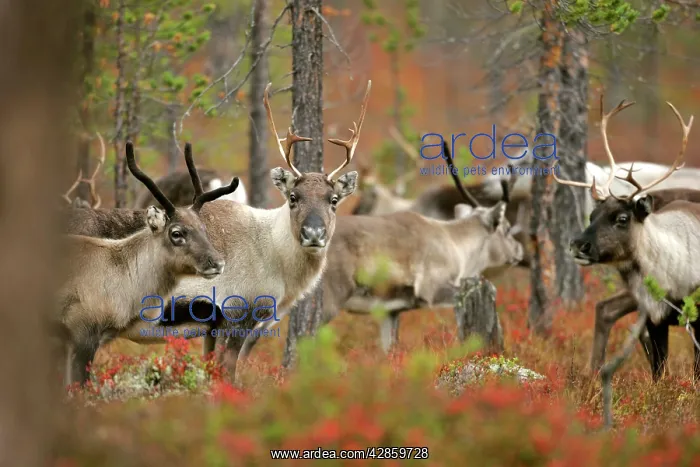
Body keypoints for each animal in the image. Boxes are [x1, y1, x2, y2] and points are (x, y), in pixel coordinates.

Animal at [118, 80, 371, 378]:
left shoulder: (214, 327)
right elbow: (226, 374)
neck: (274, 256)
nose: (313, 234)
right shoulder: (238, 314)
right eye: (293, 197)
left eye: (333, 200)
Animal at [553, 95, 700, 381]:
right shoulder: (655, 318)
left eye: (622, 218)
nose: (577, 245)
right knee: (606, 310)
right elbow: (659, 371)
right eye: (592, 215)